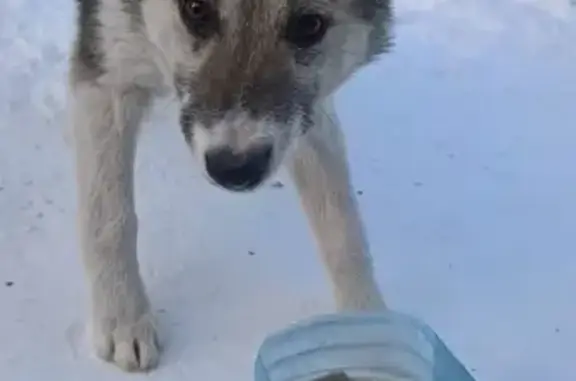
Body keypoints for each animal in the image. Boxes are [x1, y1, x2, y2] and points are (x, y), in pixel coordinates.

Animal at [67, 0, 392, 372]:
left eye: (309, 25)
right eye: (196, 10)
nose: (234, 168)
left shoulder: (307, 111)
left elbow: (342, 226)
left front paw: (368, 329)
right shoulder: (108, 73)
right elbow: (110, 220)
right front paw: (124, 319)